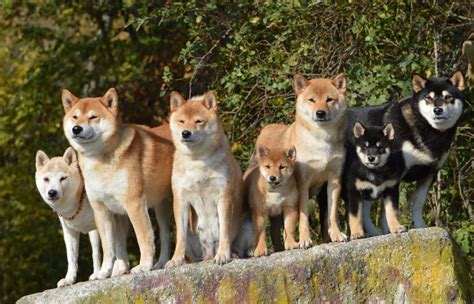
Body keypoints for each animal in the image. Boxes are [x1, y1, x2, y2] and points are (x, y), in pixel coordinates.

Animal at [35, 148, 102, 286]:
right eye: (46, 179)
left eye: (63, 178)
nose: (52, 192)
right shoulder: (70, 232)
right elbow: (72, 258)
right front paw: (69, 279)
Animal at [61, 88, 174, 278]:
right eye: (75, 117)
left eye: (93, 117)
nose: (76, 129)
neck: (99, 160)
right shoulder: (102, 210)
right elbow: (109, 248)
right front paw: (104, 272)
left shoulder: (134, 204)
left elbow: (143, 238)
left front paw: (144, 266)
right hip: (161, 207)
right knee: (166, 235)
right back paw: (161, 263)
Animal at [166, 91, 244, 266]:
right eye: (181, 121)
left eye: (198, 121)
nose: (185, 133)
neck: (197, 160)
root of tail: (209, 251)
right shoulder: (180, 199)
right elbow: (180, 239)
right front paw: (175, 260)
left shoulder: (224, 196)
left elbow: (224, 232)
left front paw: (223, 255)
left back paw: (233, 255)